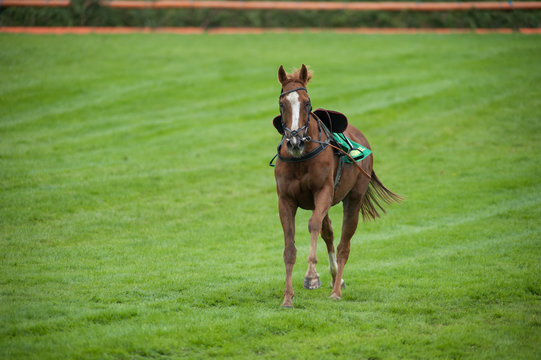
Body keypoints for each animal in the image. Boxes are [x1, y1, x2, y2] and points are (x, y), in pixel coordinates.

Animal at [272, 64, 398, 306]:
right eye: (282, 104)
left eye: (307, 102)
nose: (294, 141)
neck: (301, 158)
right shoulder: (285, 200)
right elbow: (289, 247)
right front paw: (287, 297)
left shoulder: (324, 192)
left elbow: (313, 225)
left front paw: (311, 276)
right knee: (328, 233)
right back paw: (334, 279)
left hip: (354, 198)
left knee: (343, 244)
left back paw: (336, 290)